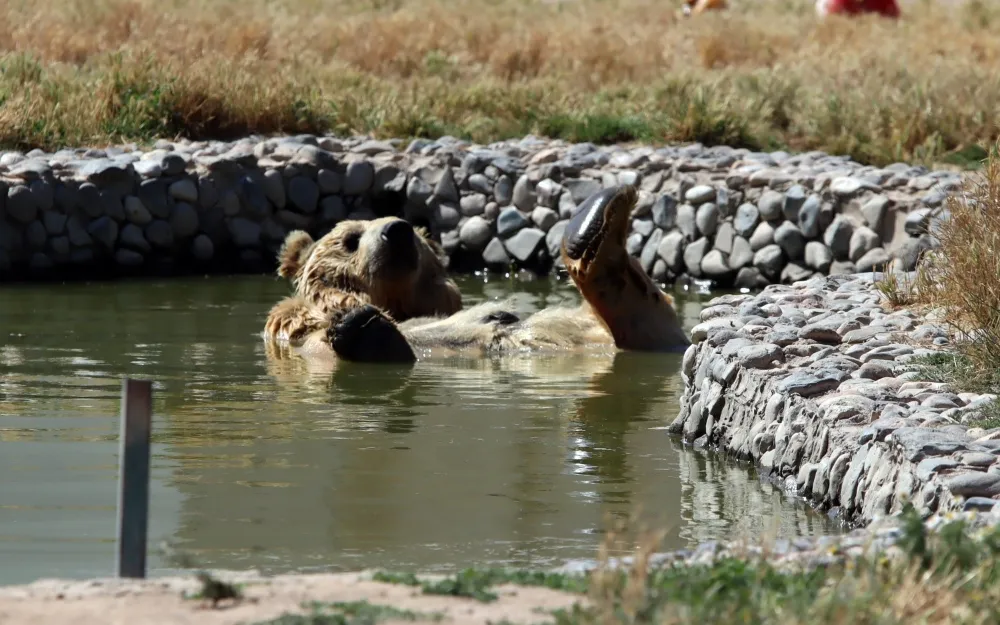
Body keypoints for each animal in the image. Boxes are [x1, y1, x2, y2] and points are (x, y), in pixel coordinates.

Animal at [262, 183, 692, 364]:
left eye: (415, 232)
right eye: (351, 238)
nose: (396, 230)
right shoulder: (300, 334)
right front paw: (364, 324)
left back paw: (598, 218)